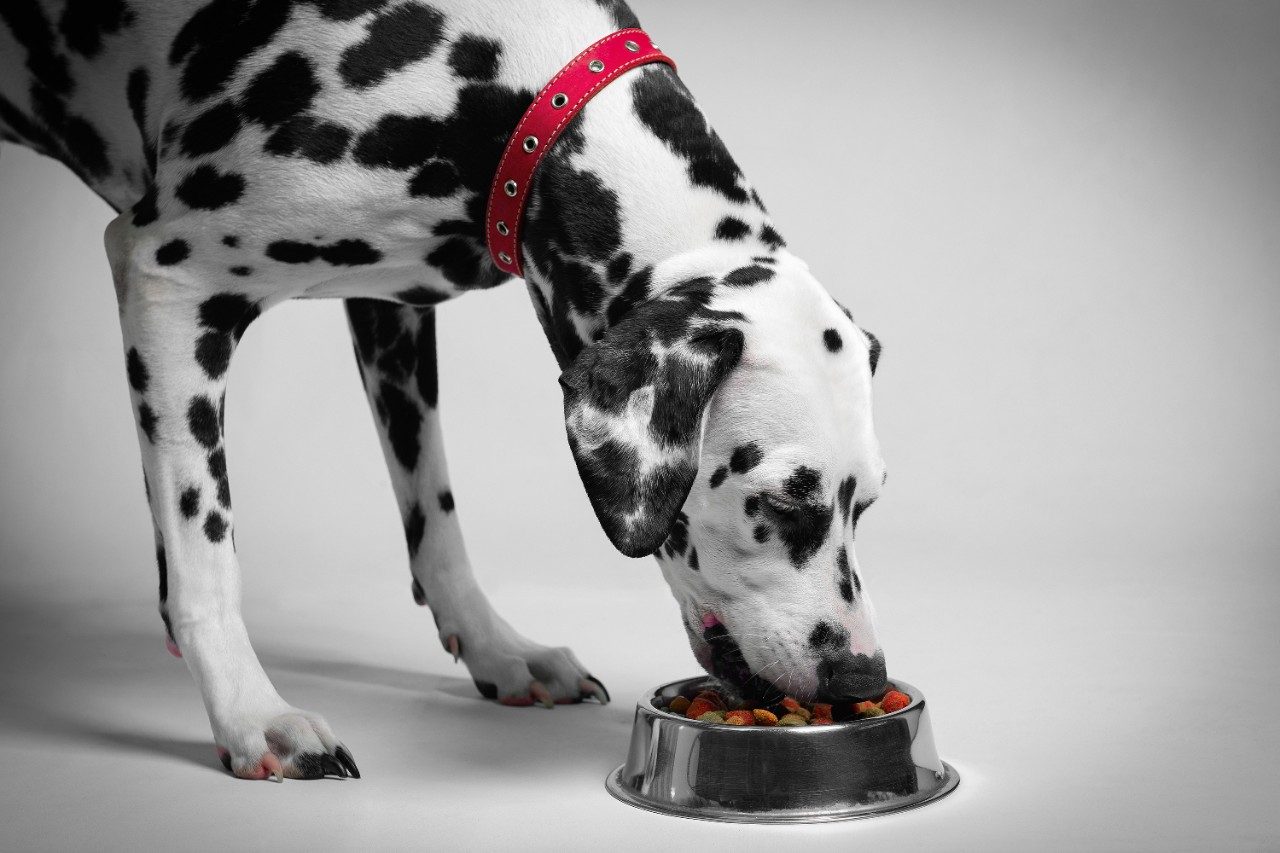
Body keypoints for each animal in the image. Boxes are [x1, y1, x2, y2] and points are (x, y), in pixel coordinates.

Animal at [2, 0, 890, 778]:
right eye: (777, 503)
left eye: (869, 503)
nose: (863, 678)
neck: (514, 81)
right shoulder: (169, 281)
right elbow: (204, 548)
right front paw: (251, 713)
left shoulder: (391, 308)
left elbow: (435, 514)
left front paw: (498, 647)